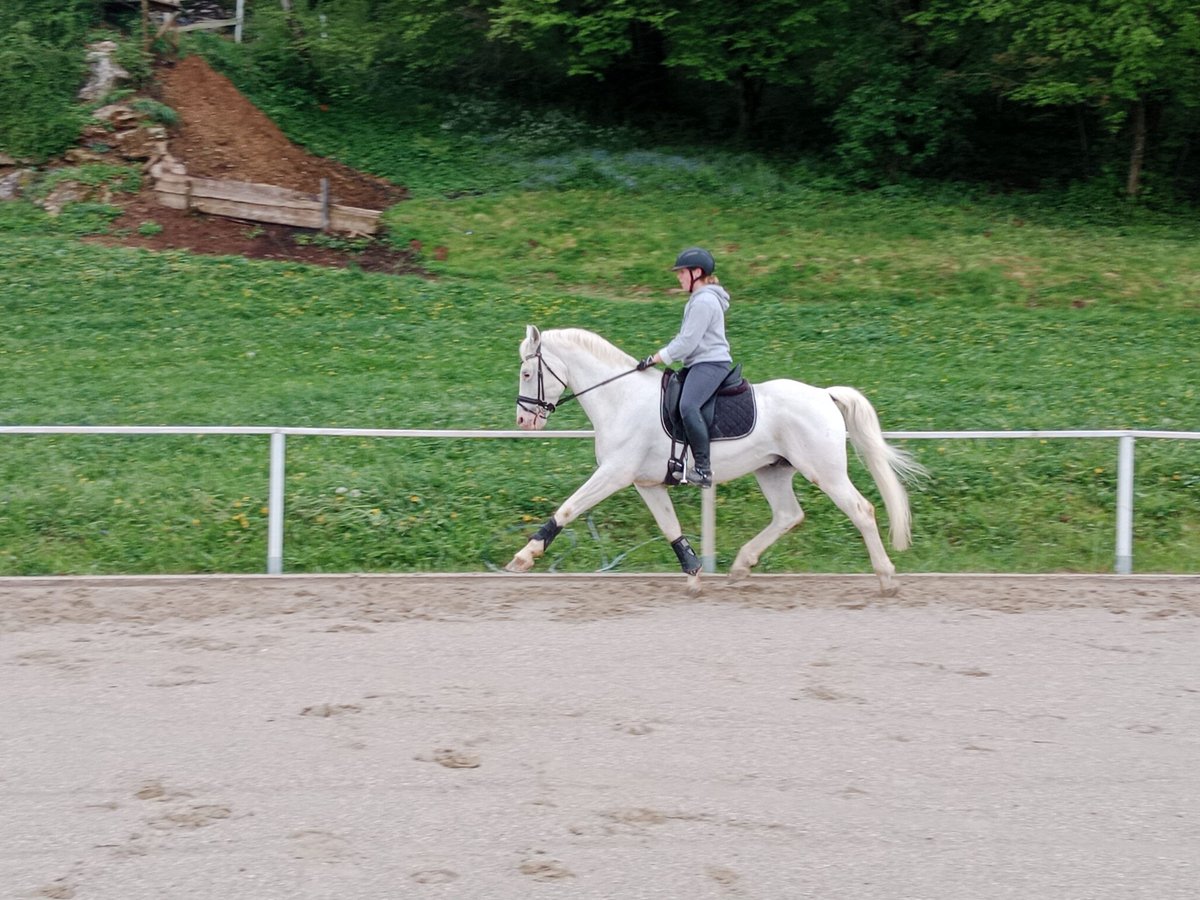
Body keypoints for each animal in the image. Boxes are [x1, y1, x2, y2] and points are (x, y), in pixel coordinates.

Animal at [501, 328, 921, 595]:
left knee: (861, 510)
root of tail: (823, 394)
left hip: (825, 472)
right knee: (788, 515)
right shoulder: (645, 482)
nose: (524, 421)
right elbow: (670, 527)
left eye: (527, 373)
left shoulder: (614, 474)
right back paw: (741, 566)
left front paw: (524, 557)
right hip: (772, 470)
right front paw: (693, 574)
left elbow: (569, 508)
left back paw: (886, 578)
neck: (620, 398)